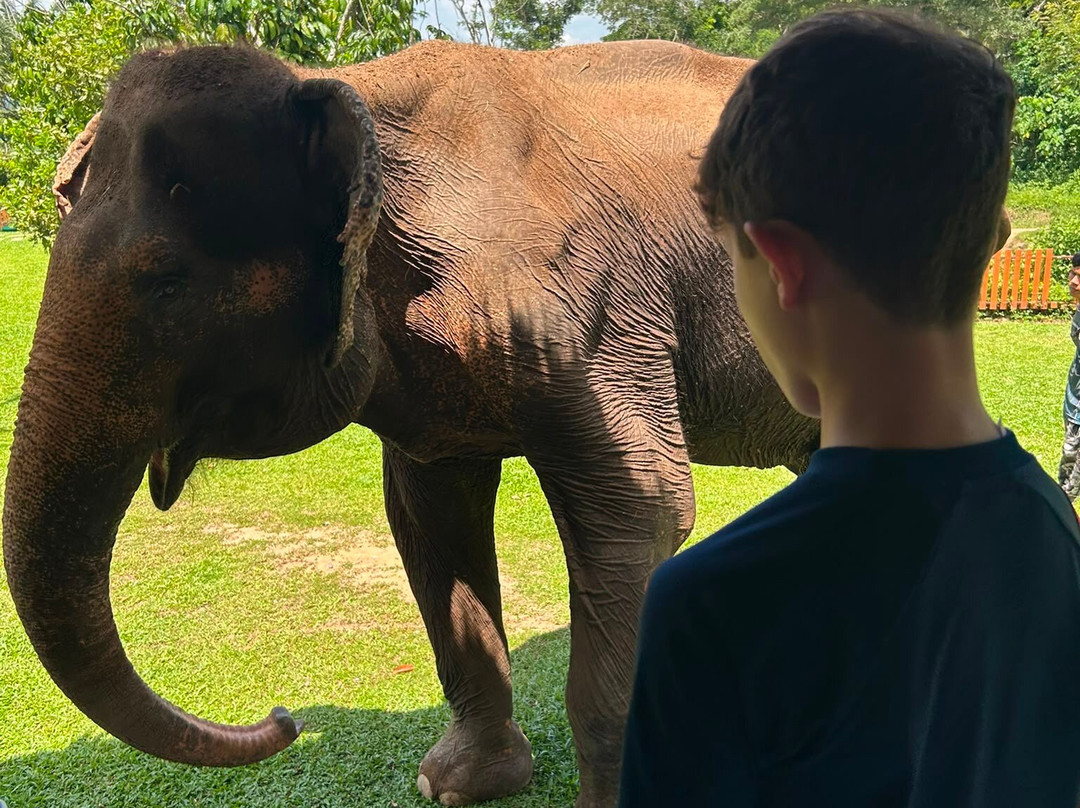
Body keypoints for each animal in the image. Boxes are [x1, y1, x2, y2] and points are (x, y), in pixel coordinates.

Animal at [3, 40, 819, 807]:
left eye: (168, 285)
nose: (285, 717)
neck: (353, 91)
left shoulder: (587, 321)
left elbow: (641, 509)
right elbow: (429, 516)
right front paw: (456, 785)